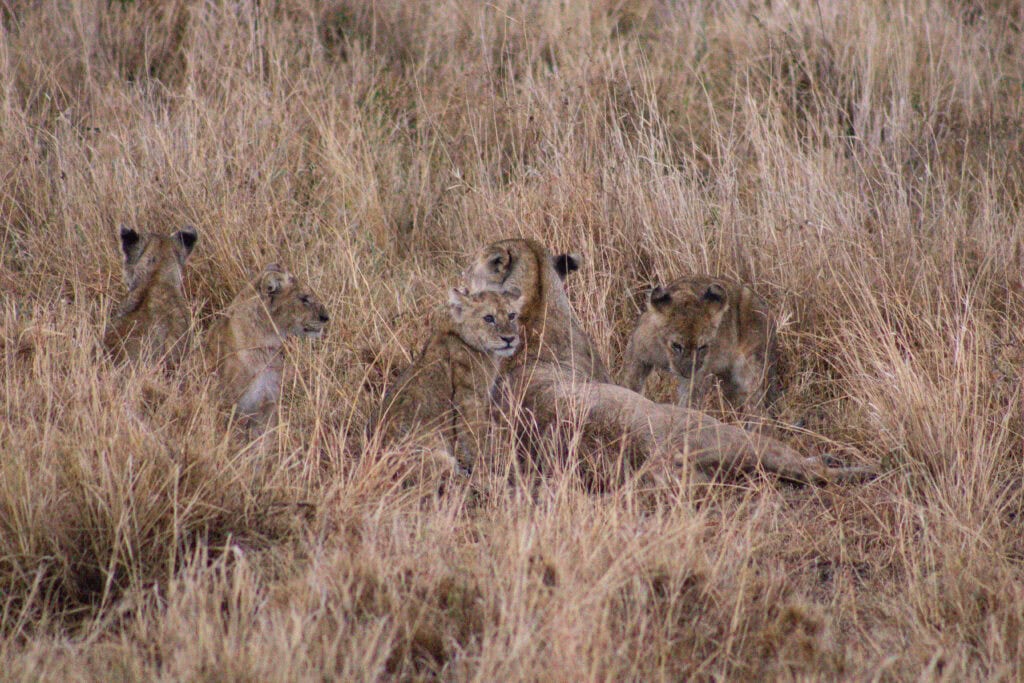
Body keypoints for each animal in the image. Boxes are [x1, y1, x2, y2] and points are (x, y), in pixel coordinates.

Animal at [205, 263, 329, 441]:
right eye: (304, 298)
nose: (326, 317)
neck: (267, 349)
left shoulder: (267, 404)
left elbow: (263, 440)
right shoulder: (227, 402)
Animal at [369, 287, 523, 475]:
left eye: (512, 315)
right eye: (488, 318)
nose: (509, 339)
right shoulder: (468, 397)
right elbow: (472, 435)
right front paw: (484, 468)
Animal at [621, 277, 778, 414]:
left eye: (702, 347)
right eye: (676, 345)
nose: (687, 372)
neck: (666, 356)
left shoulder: (698, 376)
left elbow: (690, 400)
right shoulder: (639, 352)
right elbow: (632, 380)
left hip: (751, 367)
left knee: (758, 407)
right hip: (728, 379)